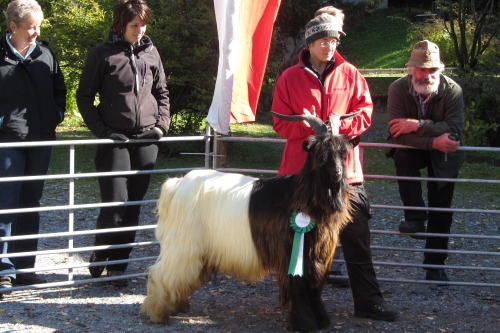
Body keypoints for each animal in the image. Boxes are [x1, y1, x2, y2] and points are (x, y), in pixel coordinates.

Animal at [142, 112, 356, 332]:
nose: (337, 173)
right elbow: (300, 288)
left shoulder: (317, 255)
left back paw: (179, 305)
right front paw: (305, 323)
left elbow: (314, 288)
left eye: (342, 153)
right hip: (183, 243)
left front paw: (321, 320)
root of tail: (178, 185)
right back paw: (158, 313)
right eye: (320, 153)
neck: (304, 196)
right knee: (162, 272)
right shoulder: (293, 253)